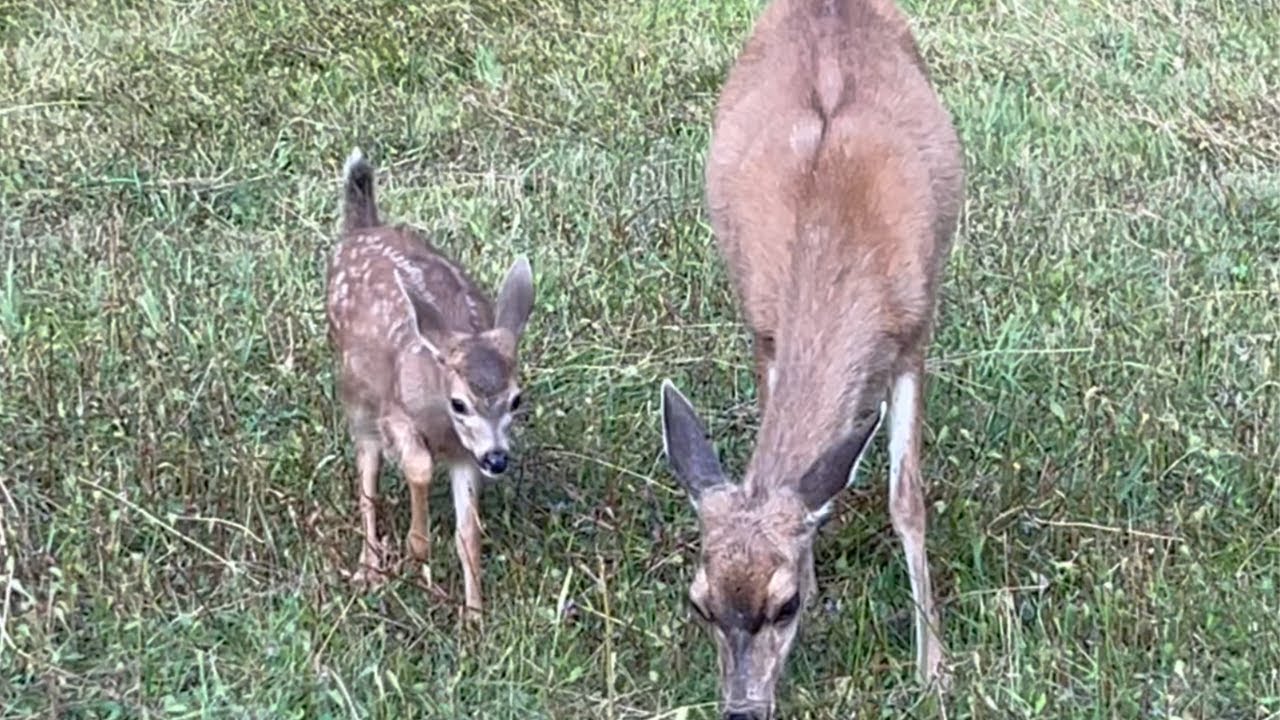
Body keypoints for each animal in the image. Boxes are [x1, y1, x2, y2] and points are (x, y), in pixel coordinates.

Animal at [325, 147, 535, 619]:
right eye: (459, 403)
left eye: (516, 399)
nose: (498, 458)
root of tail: (359, 230)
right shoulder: (395, 414)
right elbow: (417, 468)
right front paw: (417, 550)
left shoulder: (465, 456)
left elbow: (468, 535)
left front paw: (474, 617)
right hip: (356, 396)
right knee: (366, 474)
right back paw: (369, 569)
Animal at [658, 0, 963, 717]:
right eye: (700, 603)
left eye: (784, 604)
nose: (743, 707)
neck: (835, 231)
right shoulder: (763, 326)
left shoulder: (916, 334)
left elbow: (907, 498)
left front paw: (933, 668)